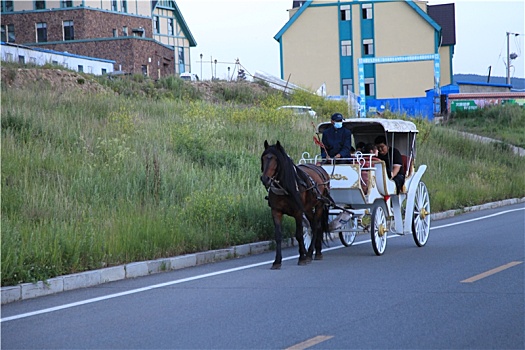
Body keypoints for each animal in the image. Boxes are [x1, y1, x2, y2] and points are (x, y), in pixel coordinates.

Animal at [260, 141, 332, 270]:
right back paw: (315, 252)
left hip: (319, 205)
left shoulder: (298, 212)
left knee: (316, 226)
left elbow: (298, 235)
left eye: (275, 159)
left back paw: (311, 253)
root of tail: (320, 168)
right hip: (308, 209)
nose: (265, 179)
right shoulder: (276, 211)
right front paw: (277, 261)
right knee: (314, 226)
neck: (285, 187)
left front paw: (302, 257)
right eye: (264, 158)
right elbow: (278, 235)